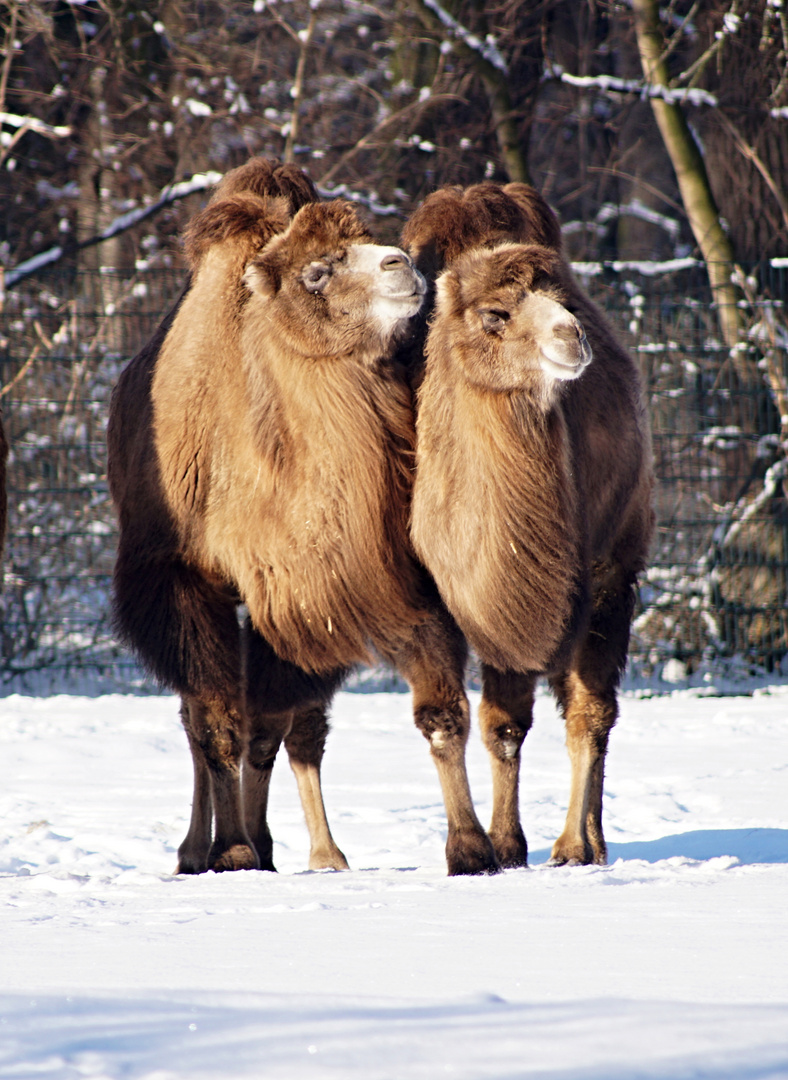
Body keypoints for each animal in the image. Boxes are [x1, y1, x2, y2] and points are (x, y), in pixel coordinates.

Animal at [106, 157, 494, 876]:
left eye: (369, 239)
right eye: (316, 272)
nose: (401, 265)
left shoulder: (335, 585)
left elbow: (318, 719)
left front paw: (466, 847)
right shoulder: (185, 578)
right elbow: (218, 722)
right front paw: (231, 849)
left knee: (277, 722)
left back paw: (292, 846)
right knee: (199, 714)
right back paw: (197, 849)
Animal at [401, 183, 651, 868]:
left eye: (562, 299)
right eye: (495, 314)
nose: (573, 336)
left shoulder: (597, 575)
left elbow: (582, 714)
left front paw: (563, 846)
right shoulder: (461, 594)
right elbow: (484, 724)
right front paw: (489, 848)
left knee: (591, 709)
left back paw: (589, 839)